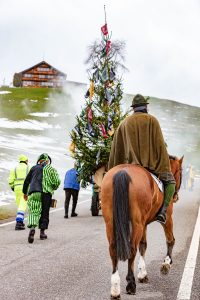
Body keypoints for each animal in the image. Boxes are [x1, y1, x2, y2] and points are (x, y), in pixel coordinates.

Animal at [101, 156, 183, 298]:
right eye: (181, 171)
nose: (176, 197)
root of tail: (123, 171)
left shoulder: (143, 223)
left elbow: (143, 245)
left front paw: (142, 273)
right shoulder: (167, 218)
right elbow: (170, 240)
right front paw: (166, 263)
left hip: (111, 223)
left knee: (113, 249)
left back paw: (115, 288)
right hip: (137, 223)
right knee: (132, 249)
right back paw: (130, 284)